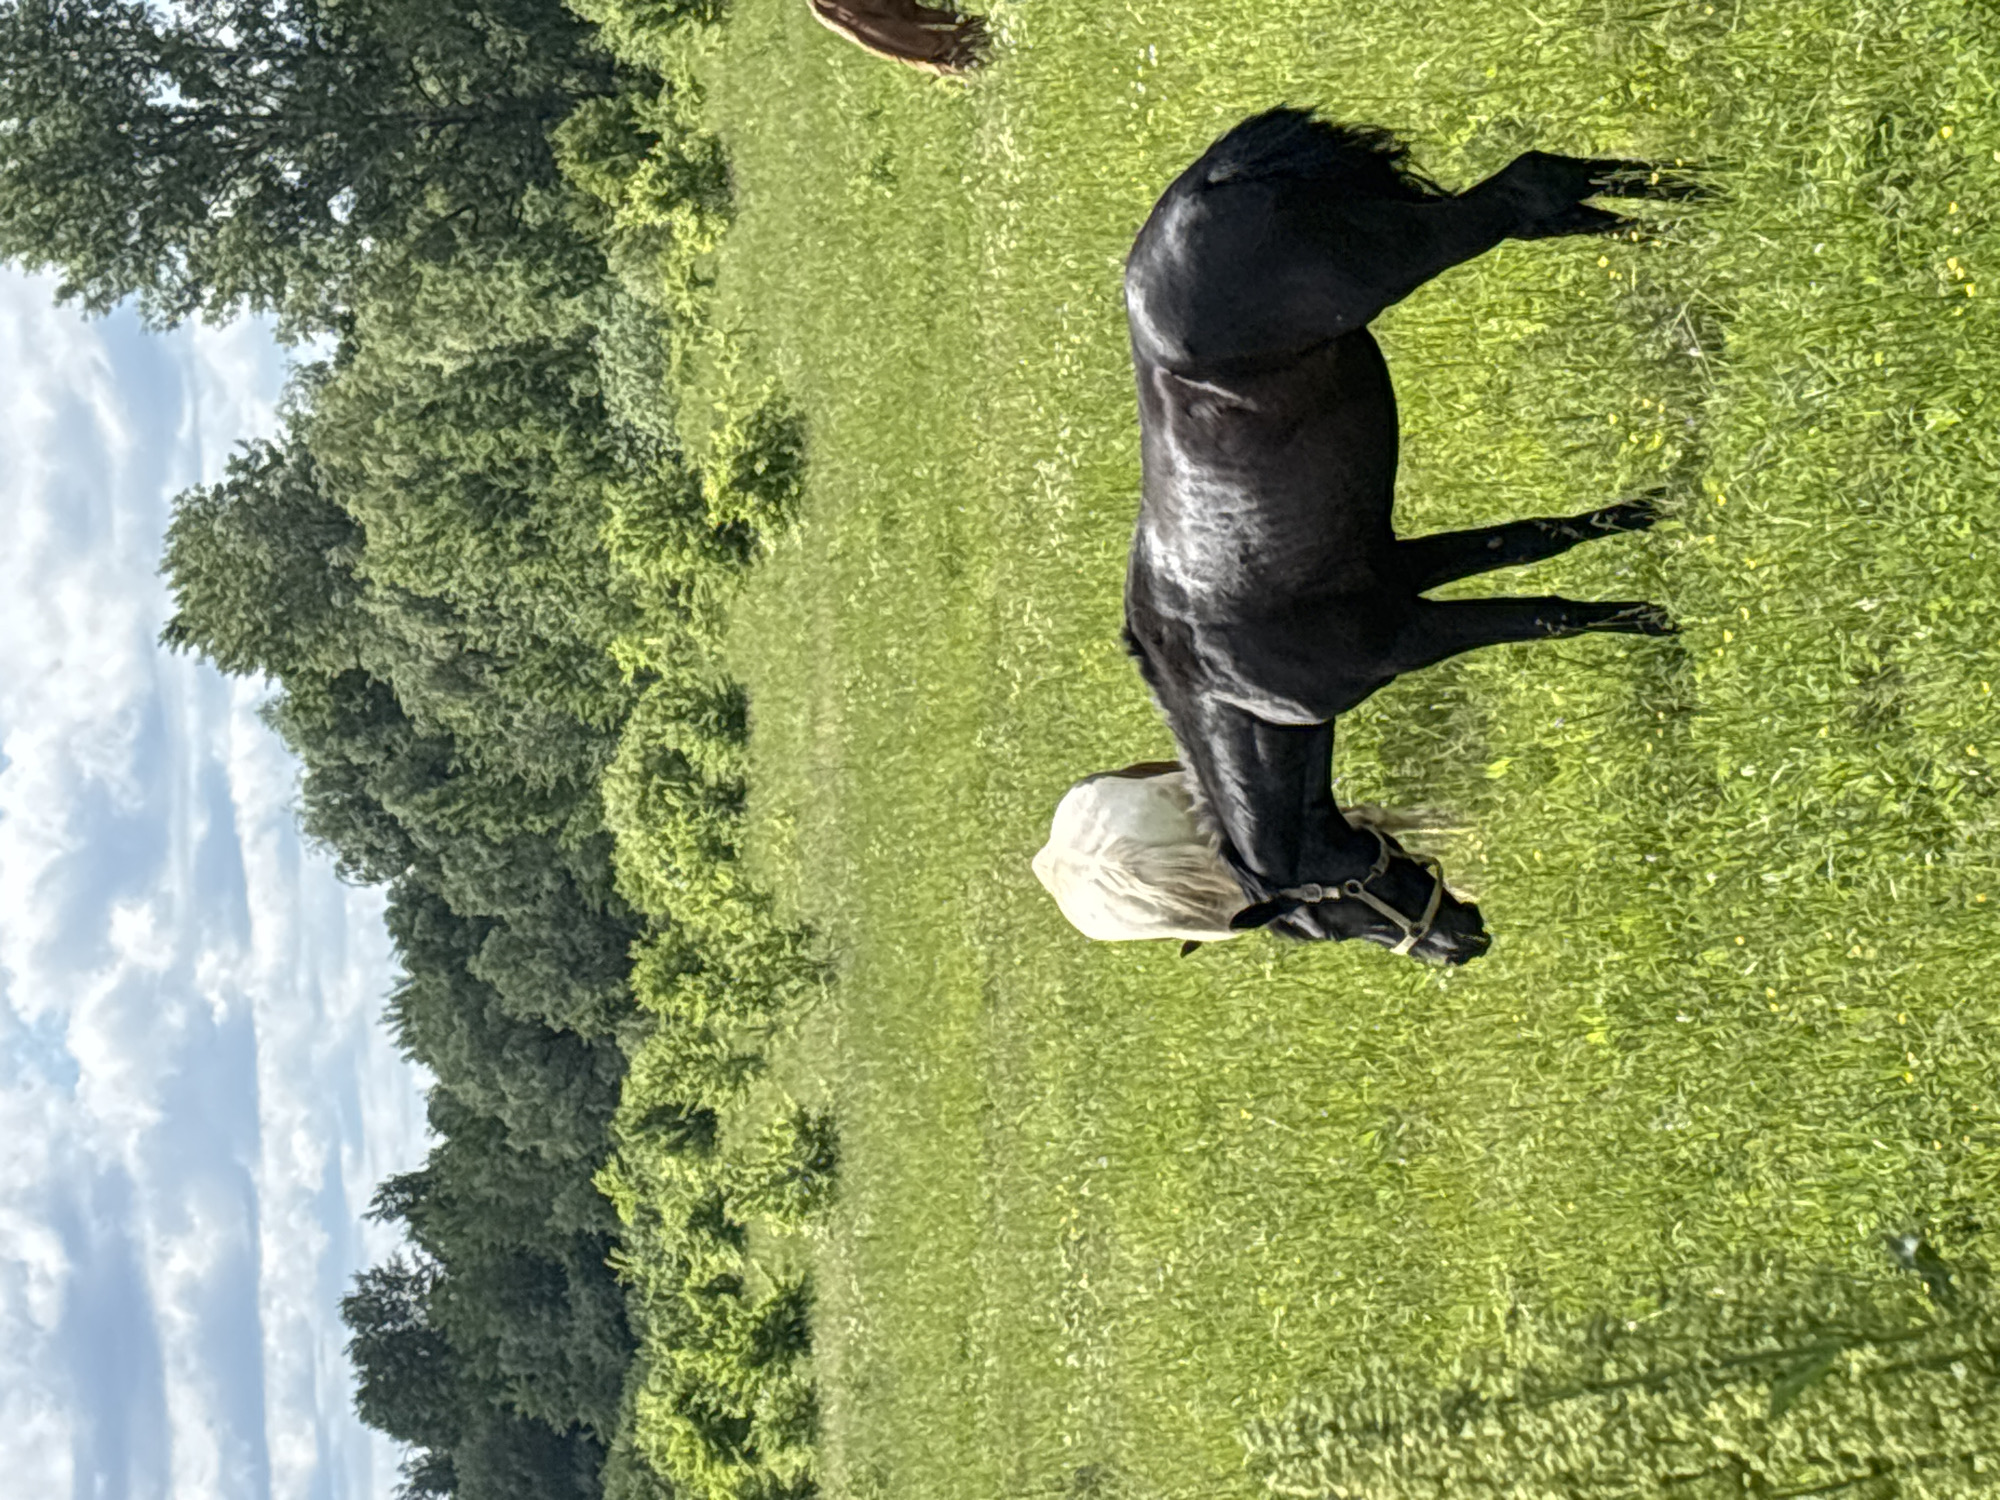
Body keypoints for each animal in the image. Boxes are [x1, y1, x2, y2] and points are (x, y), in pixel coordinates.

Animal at [1046, 109, 1694, 965]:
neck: (1234, 682)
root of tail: (1203, 186)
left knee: (1528, 189)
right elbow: (1539, 539)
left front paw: (1664, 620)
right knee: (1556, 204)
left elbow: (1547, 614)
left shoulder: (1412, 634)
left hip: (1422, 247)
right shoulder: (1401, 568)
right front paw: (1656, 515)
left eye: (1335, 917)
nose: (1458, 943)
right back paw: (1686, 204)